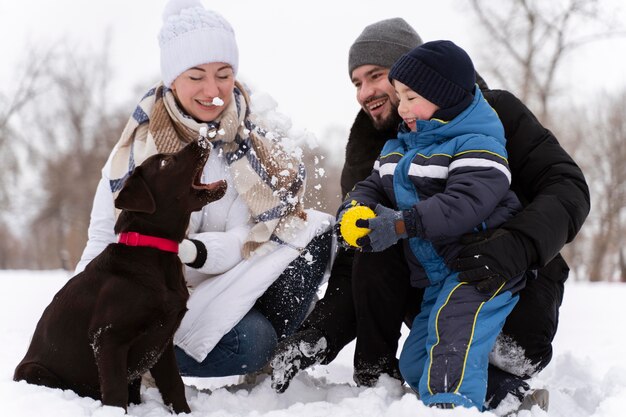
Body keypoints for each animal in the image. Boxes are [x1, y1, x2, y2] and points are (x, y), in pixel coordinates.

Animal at [14, 141, 225, 412]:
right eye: (165, 162)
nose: (201, 140)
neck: (152, 251)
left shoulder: (163, 343)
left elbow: (174, 386)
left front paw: (184, 413)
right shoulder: (108, 339)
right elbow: (115, 394)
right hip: (34, 371)